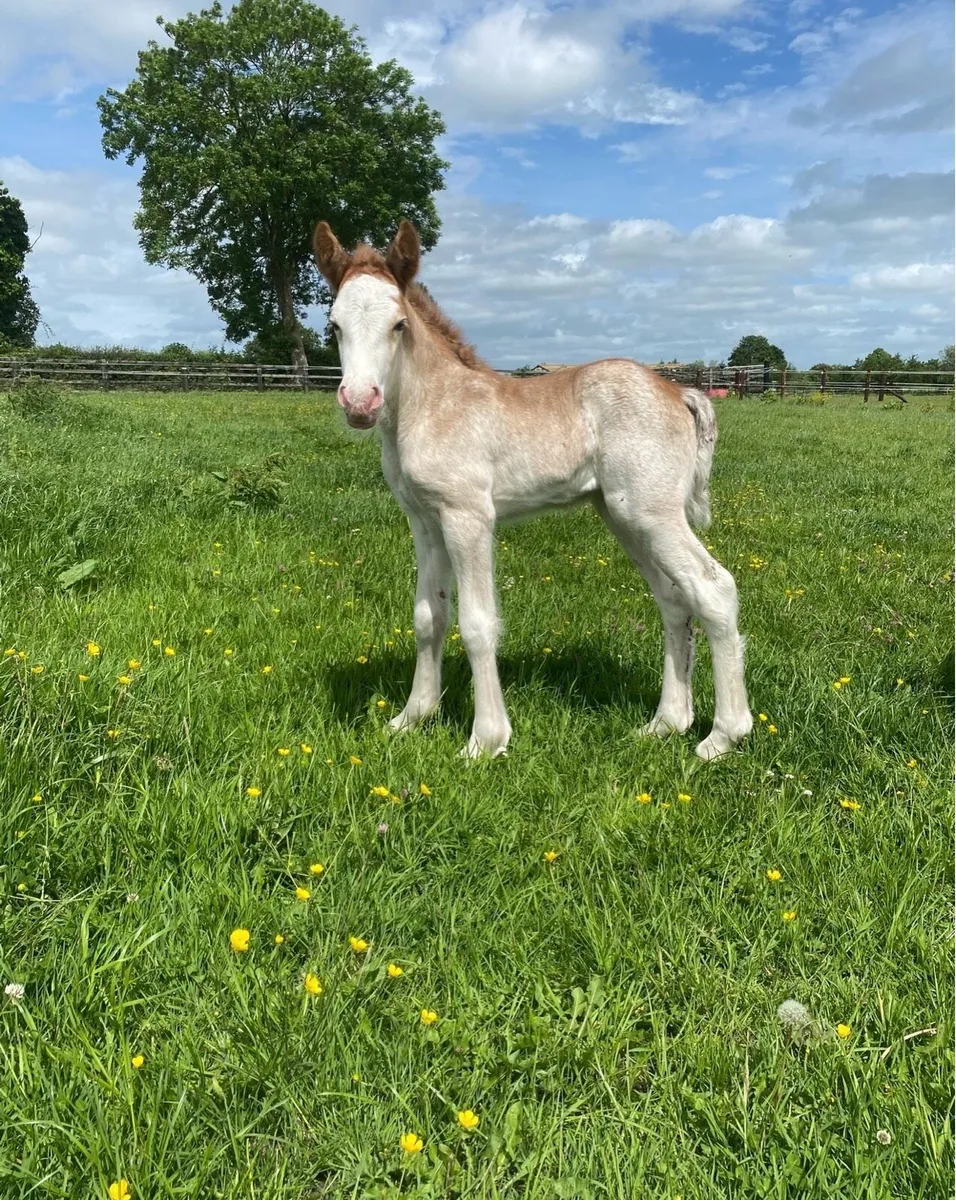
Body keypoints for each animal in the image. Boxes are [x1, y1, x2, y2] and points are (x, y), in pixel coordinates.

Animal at [313, 219, 753, 761]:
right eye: (334, 325)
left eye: (398, 325)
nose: (360, 403)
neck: (432, 406)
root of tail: (680, 392)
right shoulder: (424, 521)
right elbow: (428, 616)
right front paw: (411, 718)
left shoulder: (467, 517)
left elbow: (477, 624)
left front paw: (484, 741)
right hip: (623, 516)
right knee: (674, 599)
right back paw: (666, 723)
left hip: (653, 513)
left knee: (714, 589)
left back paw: (722, 735)